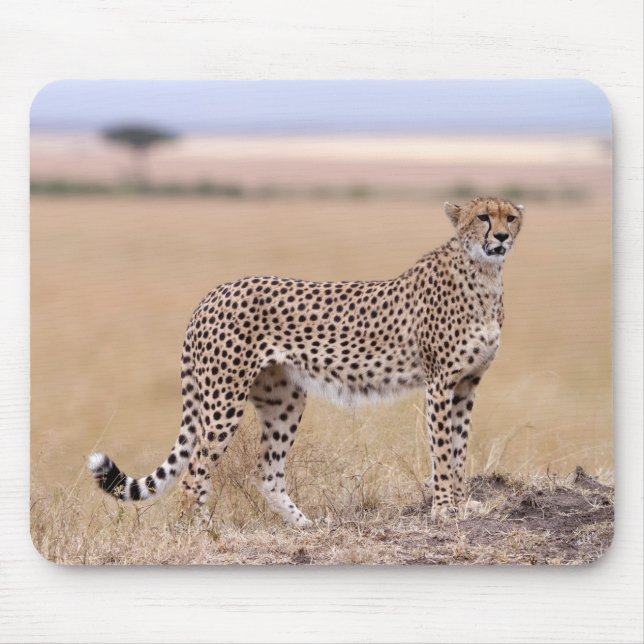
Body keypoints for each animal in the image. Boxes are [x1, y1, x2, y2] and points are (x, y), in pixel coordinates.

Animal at [87, 196, 524, 525]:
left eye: (511, 217)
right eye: (483, 217)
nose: (502, 237)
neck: (484, 274)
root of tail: (213, 293)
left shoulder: (467, 384)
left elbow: (460, 446)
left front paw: (463, 503)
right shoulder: (440, 383)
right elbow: (443, 450)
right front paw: (445, 509)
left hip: (284, 398)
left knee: (267, 473)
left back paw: (304, 526)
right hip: (224, 398)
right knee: (195, 470)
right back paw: (199, 531)